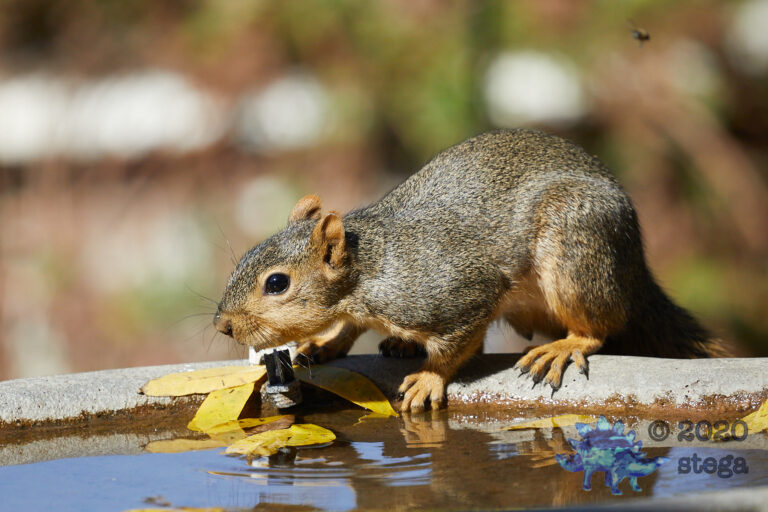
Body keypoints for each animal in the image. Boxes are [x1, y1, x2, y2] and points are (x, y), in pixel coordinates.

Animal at [213, 129, 725, 412]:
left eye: (276, 283)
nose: (223, 326)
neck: (371, 267)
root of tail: (635, 270)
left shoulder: (458, 293)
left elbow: (456, 345)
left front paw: (428, 380)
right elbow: (347, 329)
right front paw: (321, 344)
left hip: (577, 256)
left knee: (599, 325)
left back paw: (563, 346)